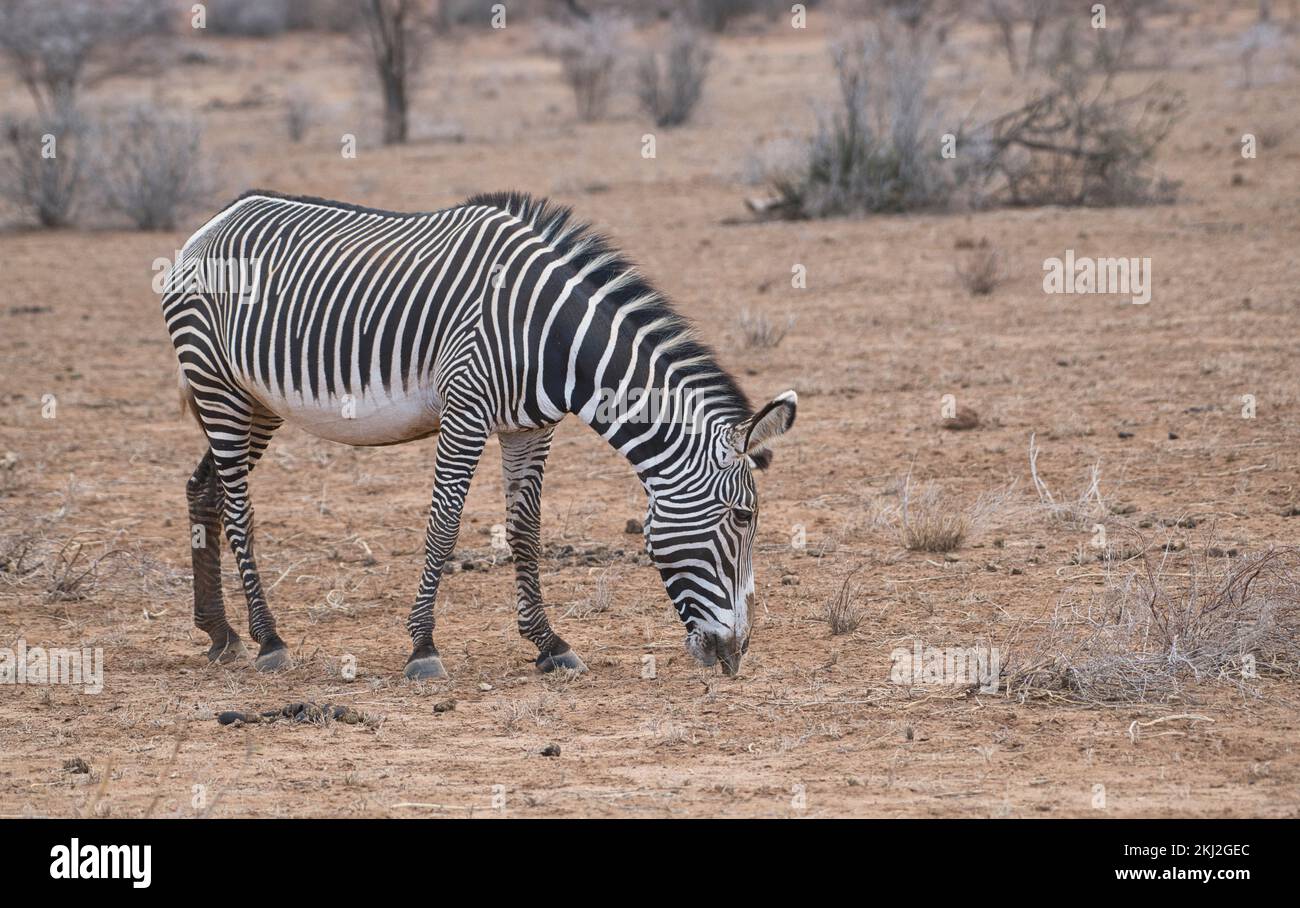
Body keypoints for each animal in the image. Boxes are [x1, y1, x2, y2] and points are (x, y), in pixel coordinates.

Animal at [162, 187, 790, 676]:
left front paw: (549, 644)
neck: (550, 337)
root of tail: (214, 222)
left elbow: (526, 531)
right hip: (217, 384)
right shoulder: (465, 409)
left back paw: (219, 633)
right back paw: (268, 638)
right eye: (743, 518)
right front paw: (422, 647)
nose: (736, 655)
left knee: (204, 487)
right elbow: (444, 525)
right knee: (237, 506)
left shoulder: (531, 427)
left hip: (255, 400)